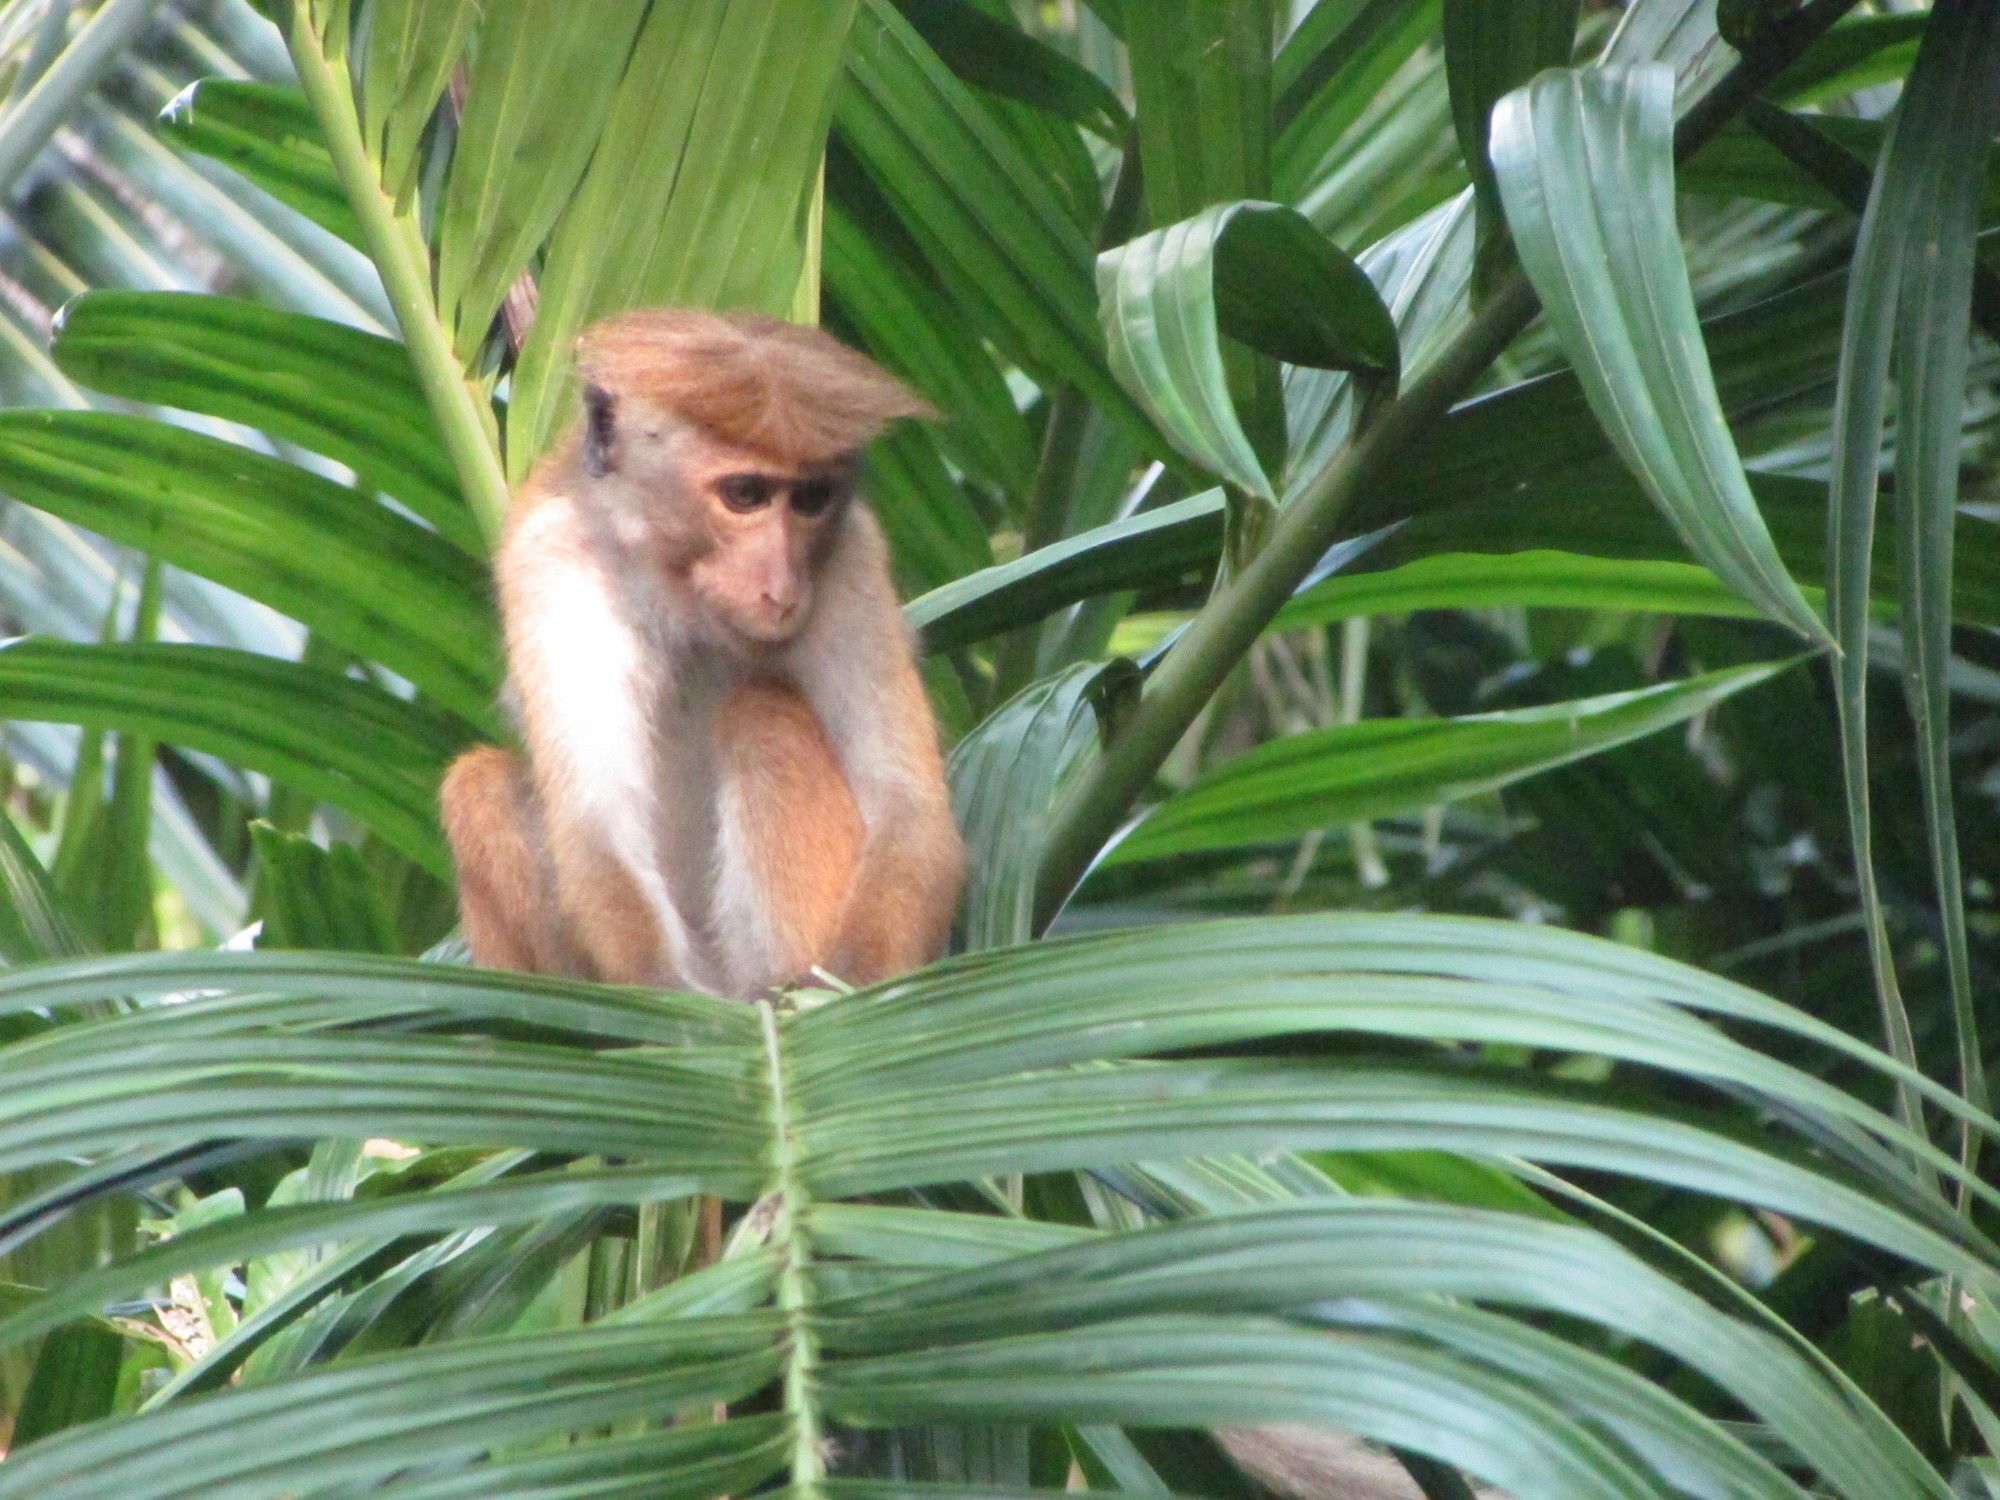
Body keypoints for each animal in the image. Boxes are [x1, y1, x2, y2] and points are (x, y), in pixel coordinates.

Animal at [440, 306, 968, 1004]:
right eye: (744, 494)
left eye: (810, 500)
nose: (782, 585)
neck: (680, 587)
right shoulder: (549, 556)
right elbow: (597, 829)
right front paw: (659, 991)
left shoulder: (851, 555)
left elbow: (909, 814)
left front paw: (852, 983)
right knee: (478, 786)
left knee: (761, 715)